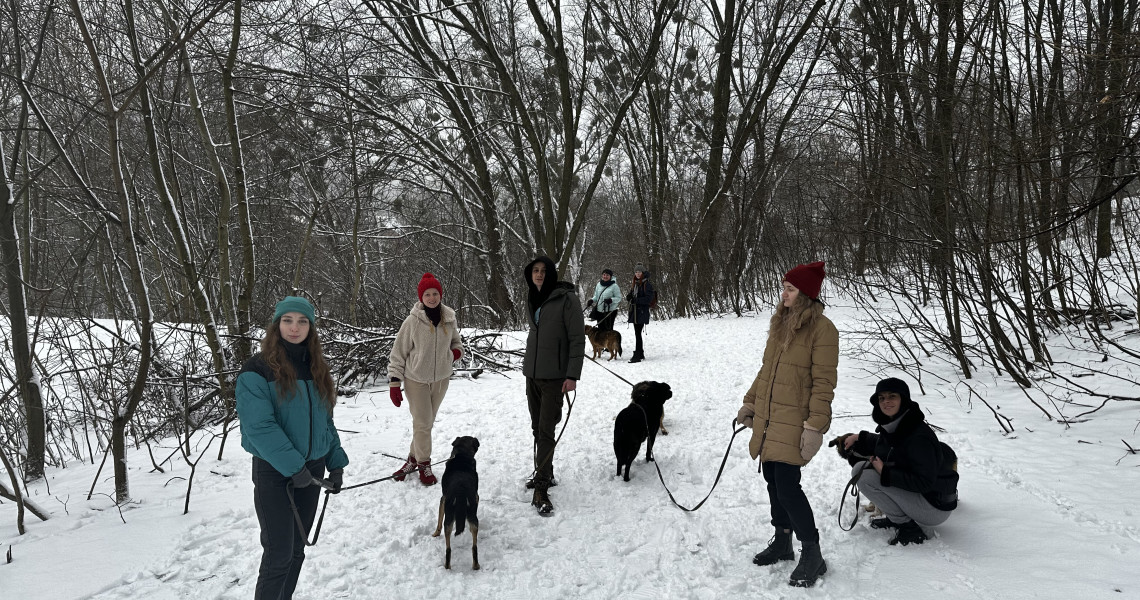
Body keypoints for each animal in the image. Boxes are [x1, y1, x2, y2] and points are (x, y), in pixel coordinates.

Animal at [428, 438, 478, 570]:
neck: (462, 456)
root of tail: (461, 491)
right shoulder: (477, 497)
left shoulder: (443, 499)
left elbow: (439, 521)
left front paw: (435, 534)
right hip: (472, 518)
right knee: (474, 547)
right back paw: (476, 566)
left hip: (449, 519)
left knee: (449, 549)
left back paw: (447, 566)